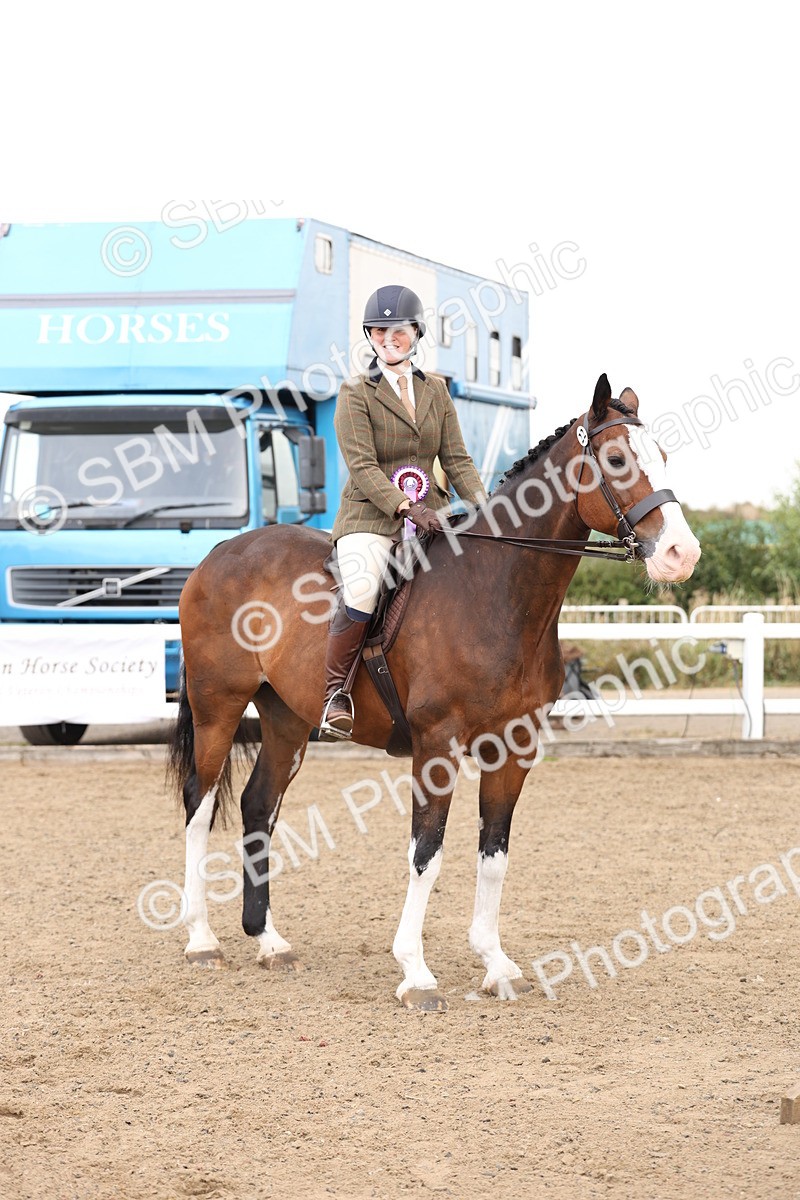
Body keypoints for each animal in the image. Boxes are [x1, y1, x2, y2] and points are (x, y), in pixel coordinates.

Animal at [167, 374, 701, 1011]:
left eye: (663, 456)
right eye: (617, 459)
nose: (682, 555)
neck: (498, 592)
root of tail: (218, 554)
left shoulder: (514, 748)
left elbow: (493, 854)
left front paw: (497, 965)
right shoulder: (436, 747)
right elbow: (427, 853)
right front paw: (416, 973)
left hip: (287, 721)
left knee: (257, 806)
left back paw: (269, 941)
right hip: (217, 707)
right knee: (199, 807)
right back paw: (201, 940)